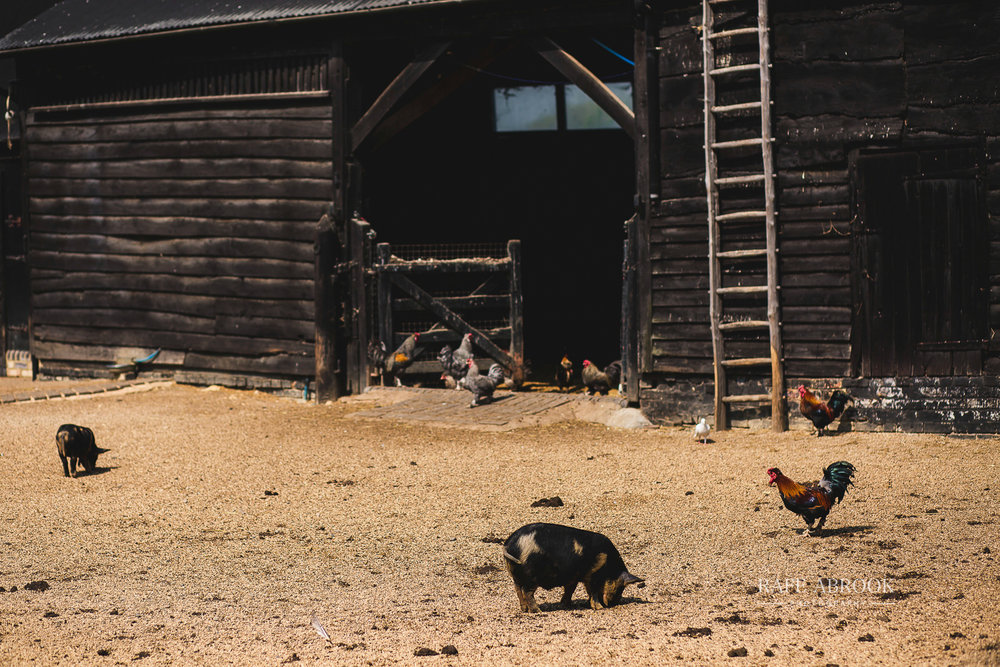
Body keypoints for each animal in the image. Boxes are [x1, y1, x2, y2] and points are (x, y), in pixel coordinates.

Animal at [504, 524, 644, 612]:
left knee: (518, 591)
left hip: (516, 576)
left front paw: (567, 605)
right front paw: (599, 608)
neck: (609, 566)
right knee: (527, 592)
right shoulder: (593, 575)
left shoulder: (575, 578)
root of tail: (510, 545)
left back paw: (524, 609)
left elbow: (571, 590)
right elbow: (593, 592)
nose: (613, 603)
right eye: (620, 587)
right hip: (531, 576)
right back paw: (538, 611)